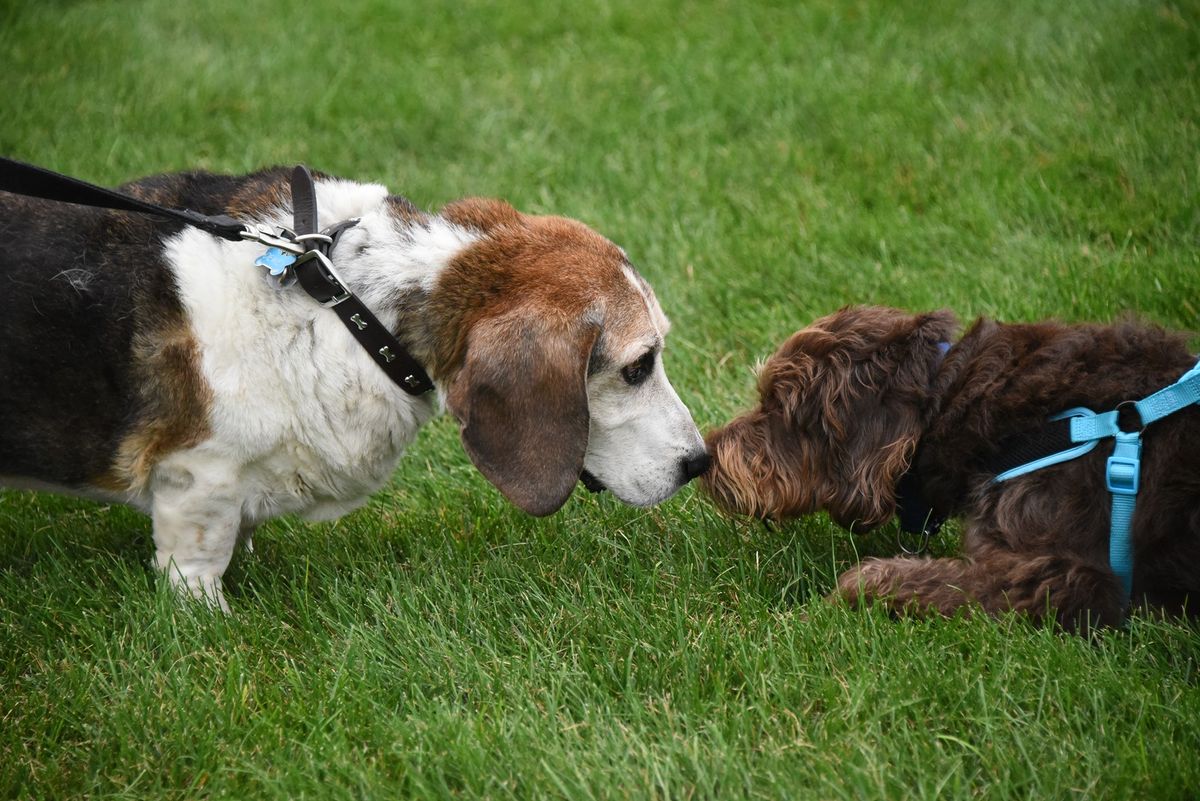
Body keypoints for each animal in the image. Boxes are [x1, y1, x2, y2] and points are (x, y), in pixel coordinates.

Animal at [0, 167, 705, 606]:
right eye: (638, 366)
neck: (349, 301)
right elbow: (196, 566)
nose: (699, 463)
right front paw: (209, 623)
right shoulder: (197, 478)